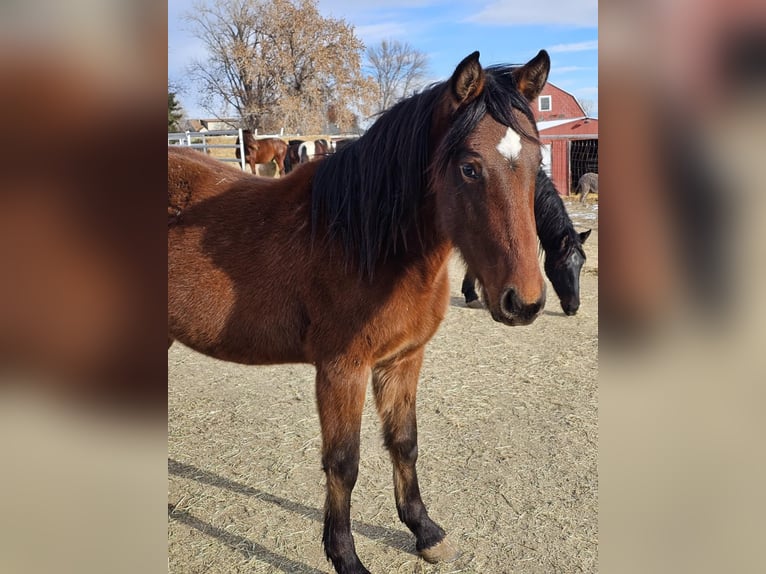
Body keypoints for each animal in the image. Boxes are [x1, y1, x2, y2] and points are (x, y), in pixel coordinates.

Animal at [169, 50, 552, 574]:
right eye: (471, 168)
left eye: (537, 161)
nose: (524, 302)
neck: (365, 240)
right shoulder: (341, 370)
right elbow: (343, 463)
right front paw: (345, 556)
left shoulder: (403, 359)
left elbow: (405, 443)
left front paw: (424, 530)